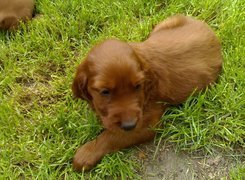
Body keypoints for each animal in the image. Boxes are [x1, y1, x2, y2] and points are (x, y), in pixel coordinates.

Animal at [72, 15, 223, 170]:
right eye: (105, 91)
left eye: (138, 86)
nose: (129, 125)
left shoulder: (147, 123)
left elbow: (111, 136)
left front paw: (85, 154)